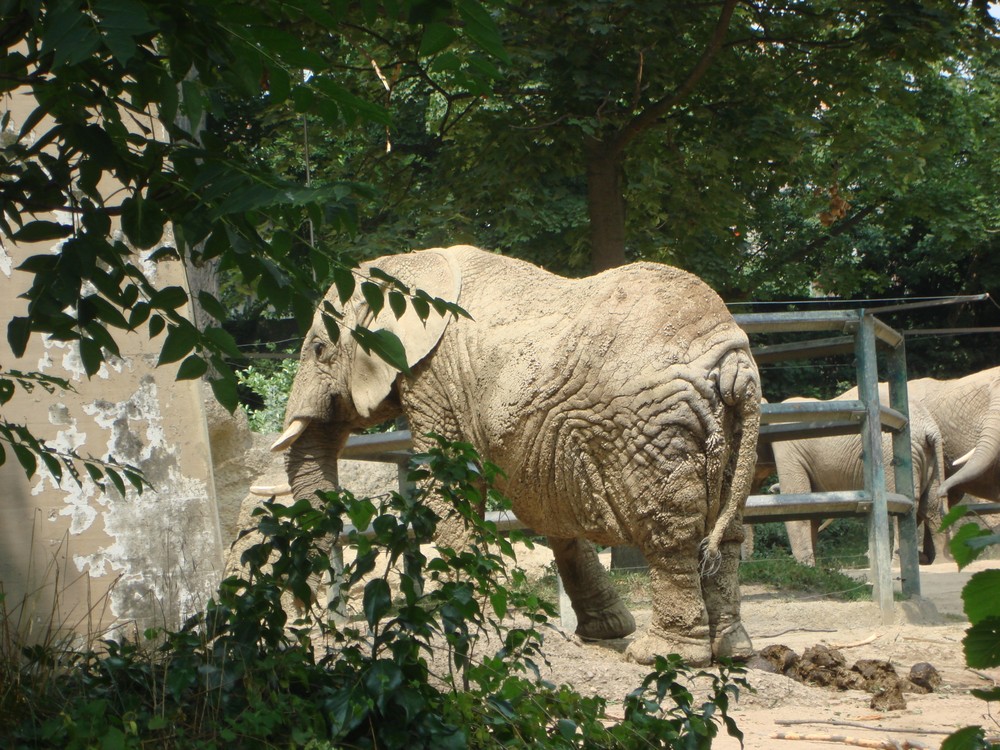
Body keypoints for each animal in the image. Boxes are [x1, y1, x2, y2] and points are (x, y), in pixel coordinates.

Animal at [270, 244, 760, 668]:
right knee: (727, 530)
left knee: (669, 530)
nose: (318, 616)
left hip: (651, 423)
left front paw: (453, 612)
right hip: (726, 427)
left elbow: (452, 477)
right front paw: (605, 631)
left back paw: (662, 657)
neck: (408, 265)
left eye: (319, 349)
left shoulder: (435, 377)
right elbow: (549, 504)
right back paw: (732, 651)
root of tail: (734, 363)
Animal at [772, 384, 944, 568]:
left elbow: (797, 505)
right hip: (928, 456)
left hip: (897, 454)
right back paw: (941, 561)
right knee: (931, 505)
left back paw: (897, 565)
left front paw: (805, 567)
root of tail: (929, 428)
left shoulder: (786, 447)